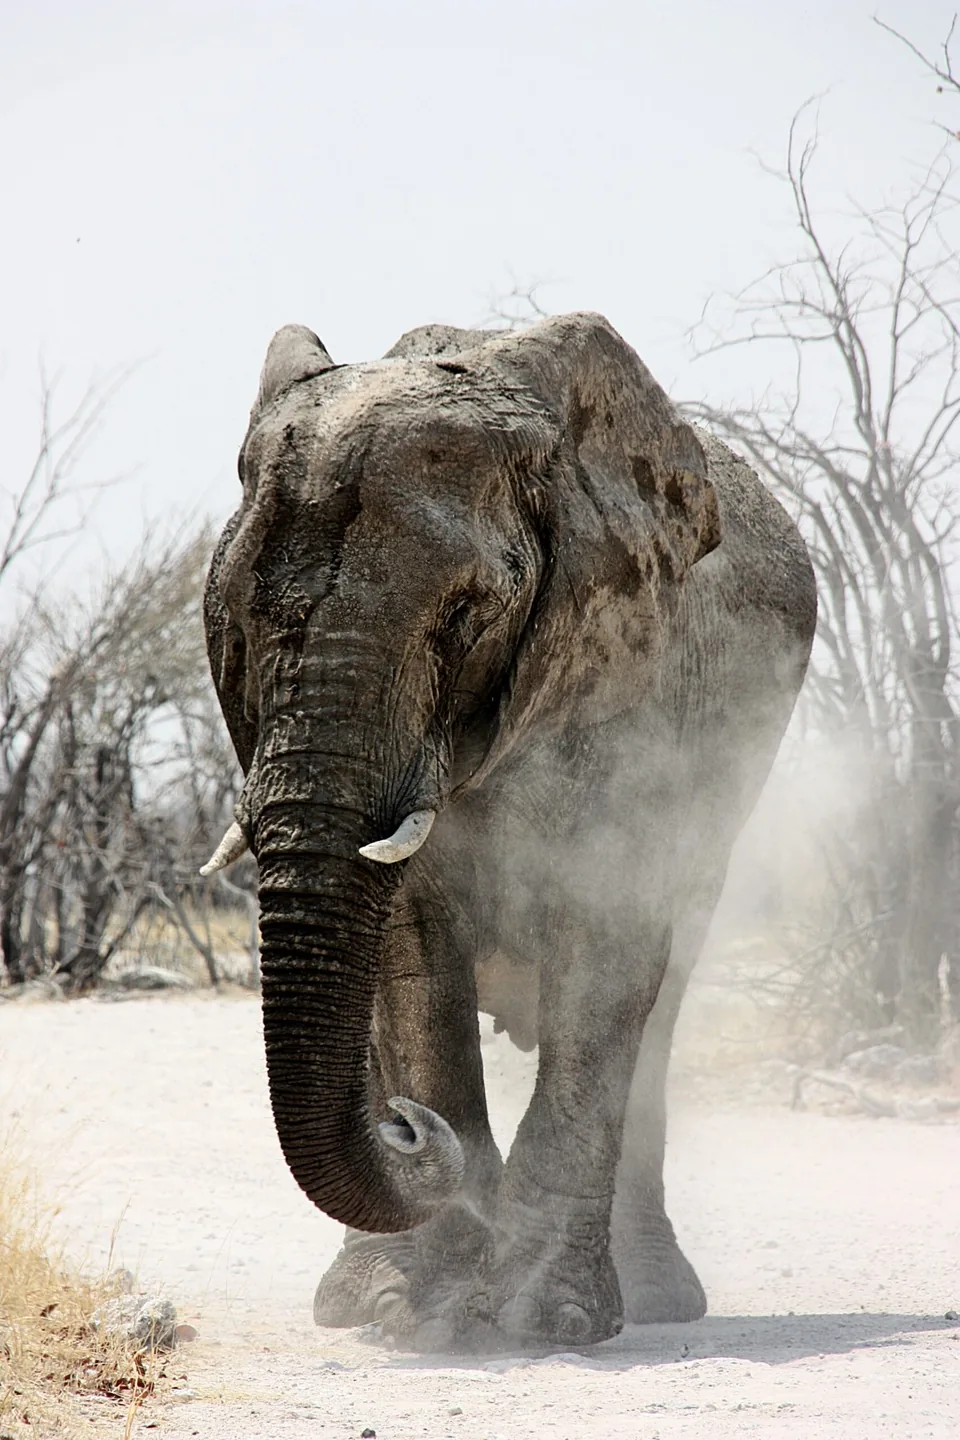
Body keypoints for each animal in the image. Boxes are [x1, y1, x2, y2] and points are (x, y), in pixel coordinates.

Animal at [202, 311, 816, 1352]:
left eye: (469, 614)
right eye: (236, 621)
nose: (406, 1125)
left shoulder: (643, 678)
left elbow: (608, 950)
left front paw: (546, 1319)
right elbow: (409, 951)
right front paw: (420, 1318)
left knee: (660, 1010)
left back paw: (653, 1302)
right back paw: (356, 1300)